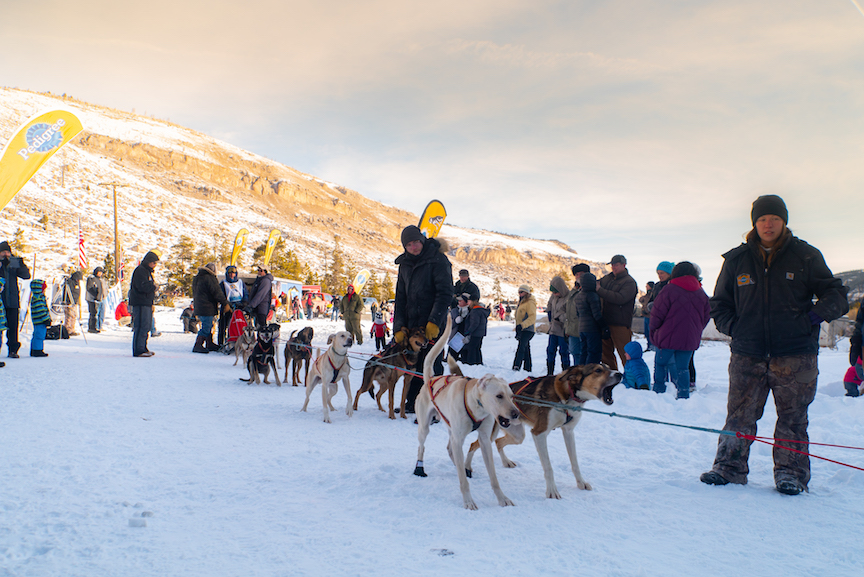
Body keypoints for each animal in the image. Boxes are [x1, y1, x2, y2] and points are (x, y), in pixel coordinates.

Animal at [414, 316, 524, 508]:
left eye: (511, 396)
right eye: (499, 396)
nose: (515, 414)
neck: (475, 405)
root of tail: (430, 379)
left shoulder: (485, 440)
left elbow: (493, 478)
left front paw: (502, 498)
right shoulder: (459, 438)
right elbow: (463, 483)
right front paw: (468, 501)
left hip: (452, 430)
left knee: (451, 450)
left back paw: (463, 468)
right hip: (425, 428)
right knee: (422, 446)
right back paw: (420, 467)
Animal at [466, 362, 620, 498]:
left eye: (608, 367)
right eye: (598, 370)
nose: (620, 374)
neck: (564, 395)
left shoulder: (568, 432)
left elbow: (575, 463)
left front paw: (580, 482)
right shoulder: (539, 433)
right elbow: (548, 467)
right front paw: (552, 491)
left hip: (517, 435)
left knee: (498, 442)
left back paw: (506, 462)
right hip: (492, 434)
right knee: (474, 444)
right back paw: (467, 467)